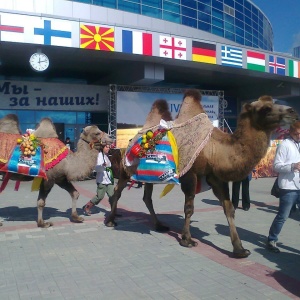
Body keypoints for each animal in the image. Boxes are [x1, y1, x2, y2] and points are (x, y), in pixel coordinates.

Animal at [105, 89, 298, 258]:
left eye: (274, 102)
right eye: (266, 108)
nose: (293, 112)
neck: (215, 150)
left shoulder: (216, 178)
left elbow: (229, 209)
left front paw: (240, 249)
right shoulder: (190, 174)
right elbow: (189, 208)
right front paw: (187, 240)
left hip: (149, 175)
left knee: (147, 197)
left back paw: (159, 225)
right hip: (126, 170)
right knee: (117, 192)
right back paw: (111, 220)